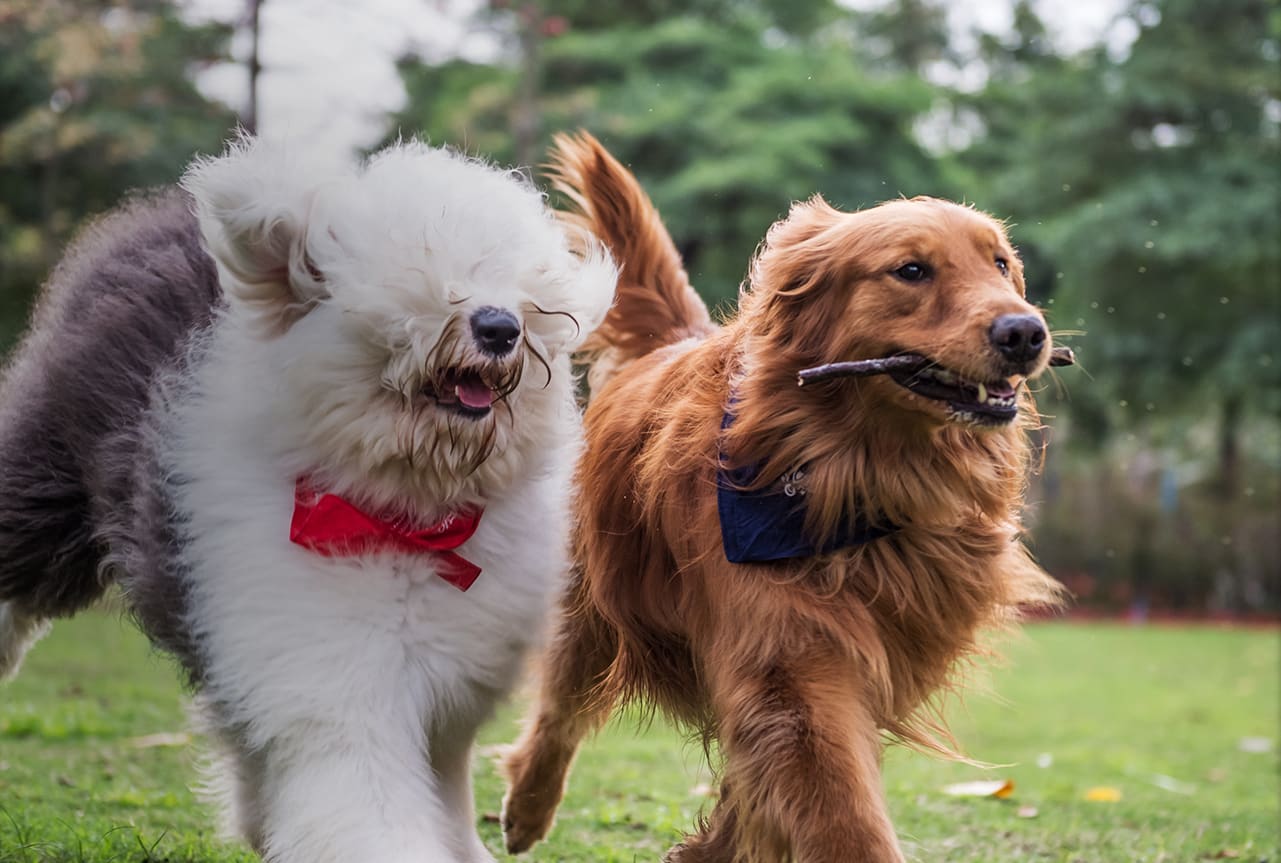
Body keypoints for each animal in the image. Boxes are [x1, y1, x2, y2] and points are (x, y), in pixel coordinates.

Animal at [0, 136, 614, 860]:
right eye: (415, 276)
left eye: (522, 280)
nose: (499, 326)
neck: (400, 517)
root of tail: (154, 218)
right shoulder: (338, 685)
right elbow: (369, 803)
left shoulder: (445, 692)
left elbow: (443, 788)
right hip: (51, 475)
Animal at [504, 131, 1065, 855]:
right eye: (911, 271)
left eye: (1000, 264)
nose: (1024, 332)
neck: (857, 472)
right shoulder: (789, 656)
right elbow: (840, 809)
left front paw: (707, 847)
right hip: (592, 601)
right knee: (559, 708)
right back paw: (526, 808)